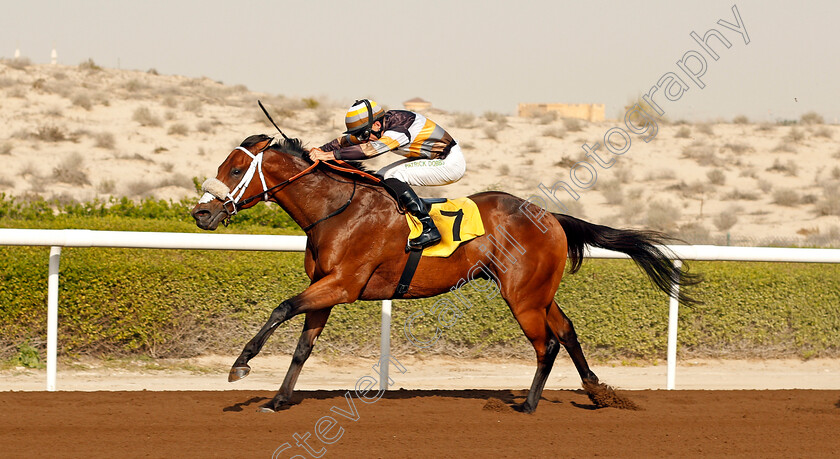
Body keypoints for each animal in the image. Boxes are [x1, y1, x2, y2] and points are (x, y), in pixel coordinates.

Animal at [194, 134, 700, 414]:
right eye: (222, 166)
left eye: (235, 169)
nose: (201, 214)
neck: (335, 209)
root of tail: (549, 215)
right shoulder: (327, 288)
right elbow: (303, 346)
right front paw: (278, 399)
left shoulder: (342, 284)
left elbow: (282, 308)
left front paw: (240, 365)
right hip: (537, 292)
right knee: (567, 330)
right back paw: (597, 392)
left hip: (522, 296)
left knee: (547, 344)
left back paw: (529, 405)